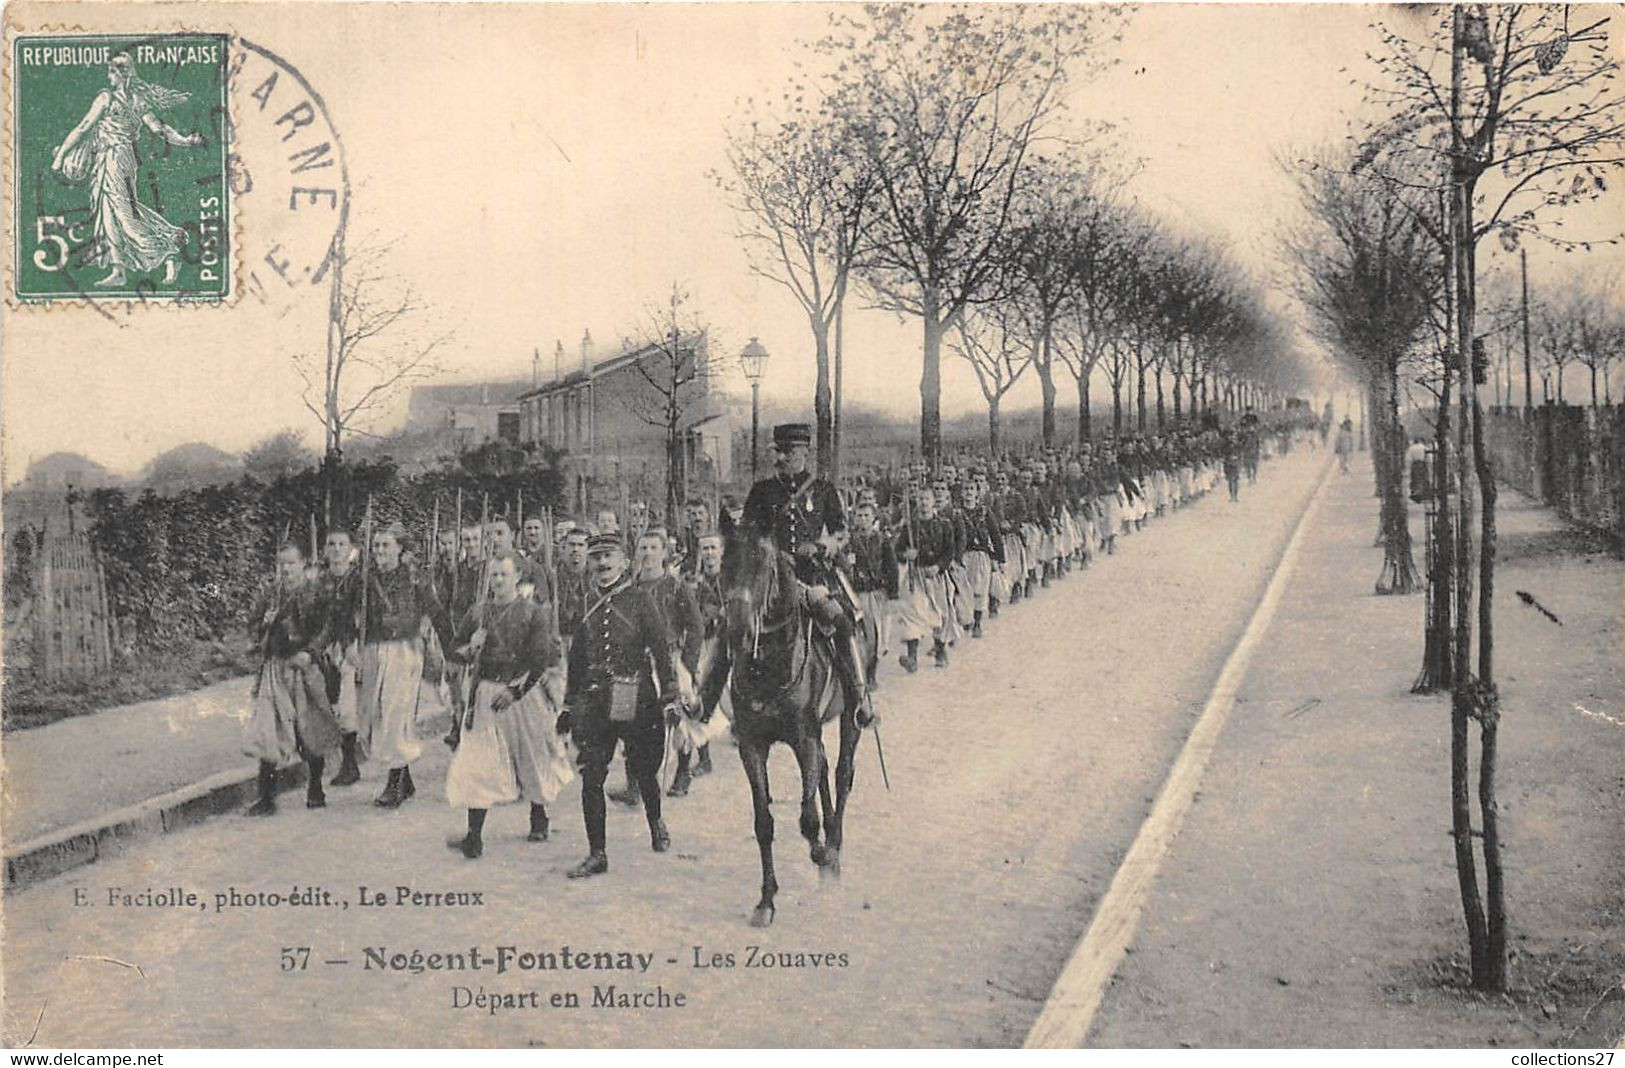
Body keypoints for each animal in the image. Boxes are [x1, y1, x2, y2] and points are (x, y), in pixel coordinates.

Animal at [705, 529, 871, 929]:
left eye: (763, 568)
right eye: (724, 565)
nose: (736, 629)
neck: (768, 668)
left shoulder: (803, 738)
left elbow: (807, 818)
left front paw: (822, 853)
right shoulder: (752, 746)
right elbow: (764, 822)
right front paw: (766, 900)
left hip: (849, 718)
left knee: (842, 774)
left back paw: (834, 850)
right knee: (824, 771)